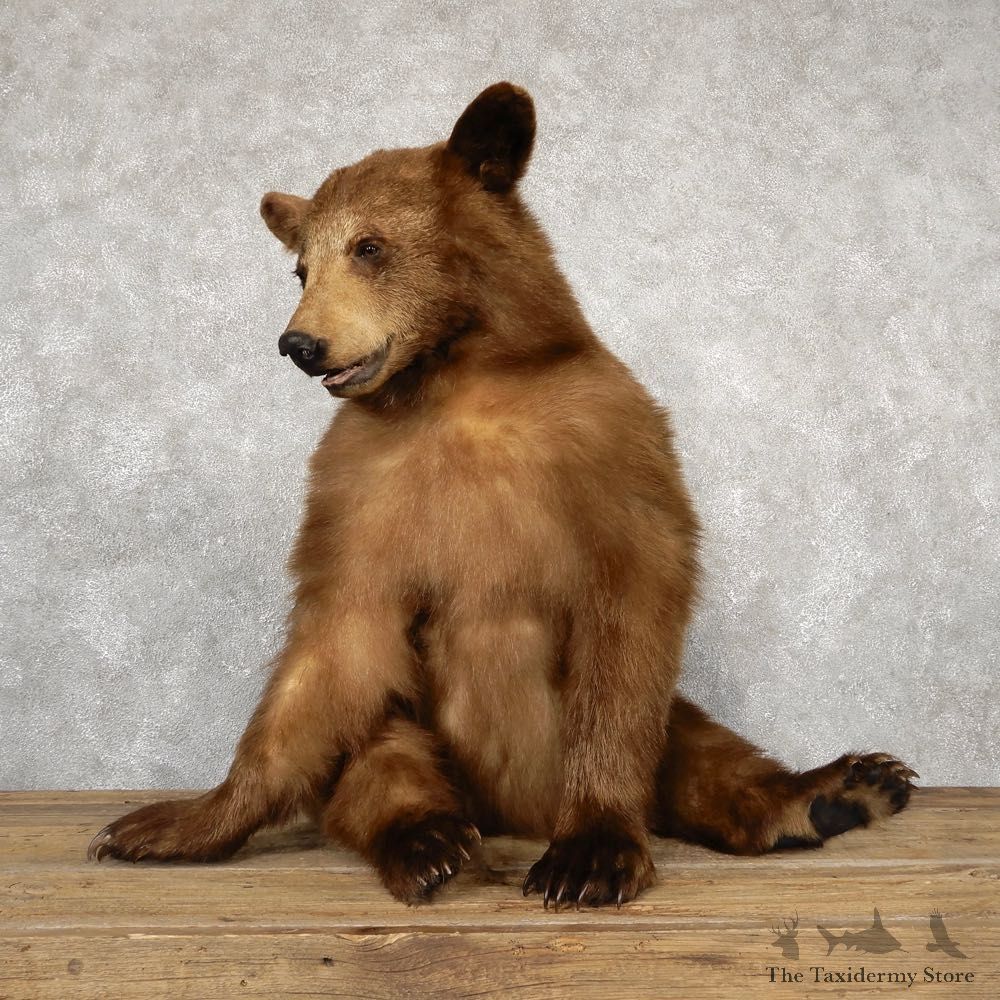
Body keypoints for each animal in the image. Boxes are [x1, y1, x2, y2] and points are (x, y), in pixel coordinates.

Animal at [89, 83, 917, 907]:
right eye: (300, 267)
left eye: (369, 246)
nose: (298, 344)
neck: (456, 380)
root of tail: (514, 813)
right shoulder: (359, 488)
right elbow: (334, 642)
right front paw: (175, 822)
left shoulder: (608, 448)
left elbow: (629, 621)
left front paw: (591, 853)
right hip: (417, 723)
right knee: (375, 752)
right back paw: (425, 838)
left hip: (663, 724)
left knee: (694, 741)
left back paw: (837, 791)